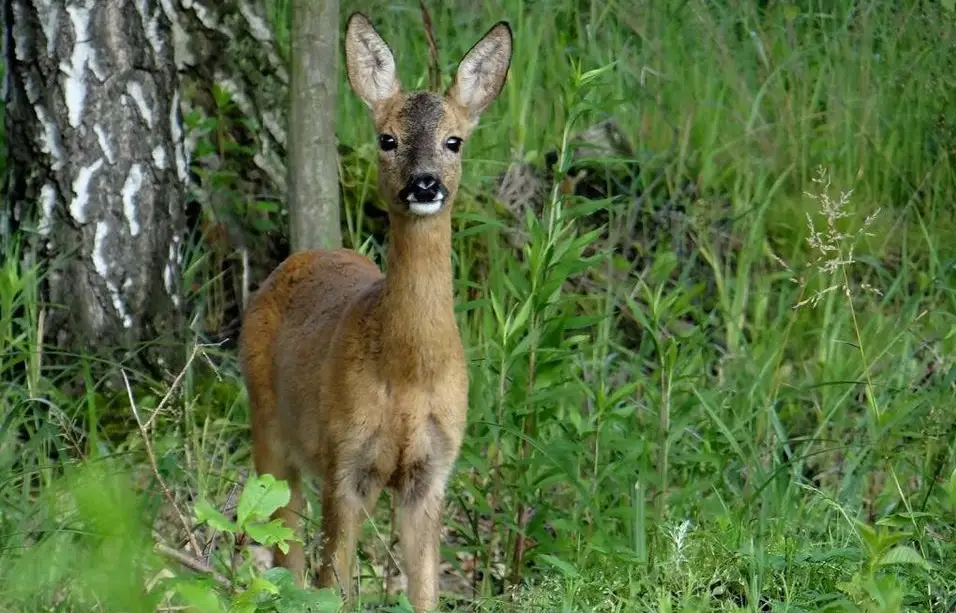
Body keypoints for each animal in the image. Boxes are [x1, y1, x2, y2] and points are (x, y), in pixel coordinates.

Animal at [236, 11, 512, 608]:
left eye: (454, 140)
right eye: (388, 139)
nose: (424, 184)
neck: (408, 376)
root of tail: (302, 255)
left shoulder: (432, 472)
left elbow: (425, 591)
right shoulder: (346, 463)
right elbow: (333, 585)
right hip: (267, 424)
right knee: (286, 547)